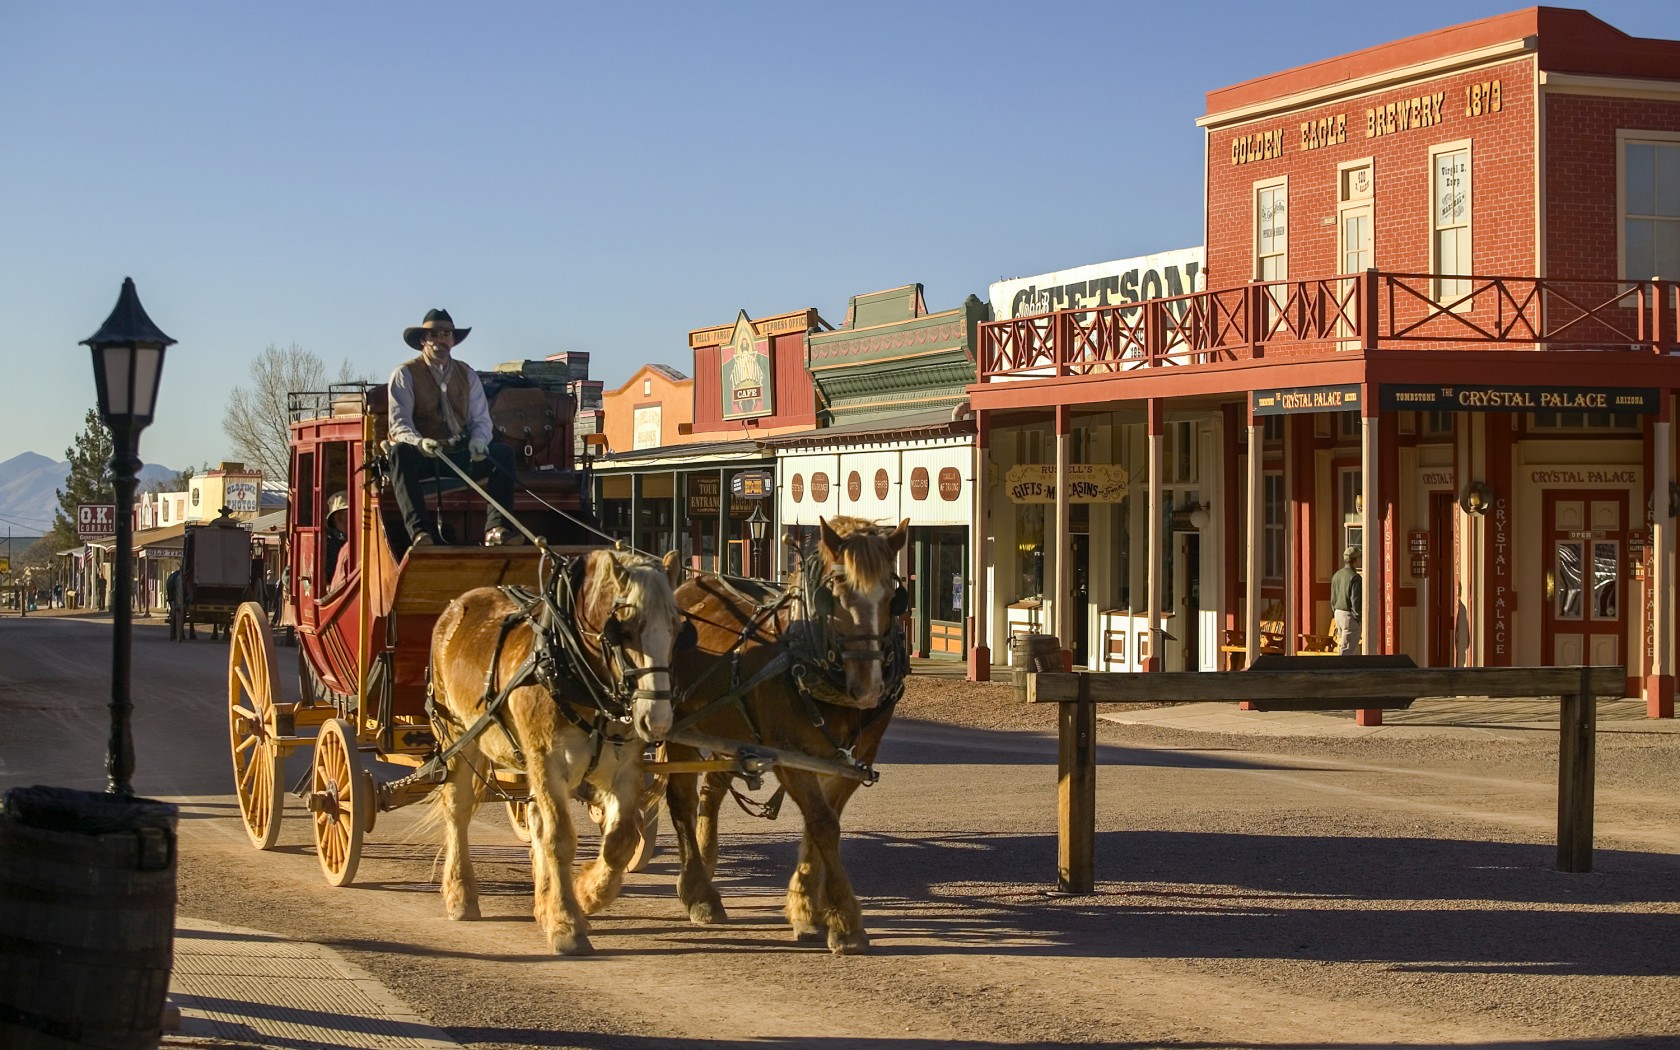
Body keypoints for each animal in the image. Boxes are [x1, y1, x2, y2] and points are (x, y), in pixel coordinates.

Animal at [430, 544, 685, 954]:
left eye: (676, 629)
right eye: (625, 629)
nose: (657, 720)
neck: (572, 666)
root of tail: (460, 604)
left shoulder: (623, 767)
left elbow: (621, 840)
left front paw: (586, 894)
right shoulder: (548, 760)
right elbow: (560, 837)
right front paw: (567, 923)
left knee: (534, 817)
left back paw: (542, 904)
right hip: (457, 736)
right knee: (458, 809)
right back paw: (460, 893)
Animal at [665, 510, 907, 954]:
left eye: (893, 597)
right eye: (834, 593)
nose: (867, 687)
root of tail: (687, 585)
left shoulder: (854, 758)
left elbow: (820, 822)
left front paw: (807, 908)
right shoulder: (788, 754)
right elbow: (824, 823)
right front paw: (846, 922)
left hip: (727, 731)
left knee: (710, 791)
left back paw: (706, 867)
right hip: (676, 727)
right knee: (681, 799)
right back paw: (698, 892)